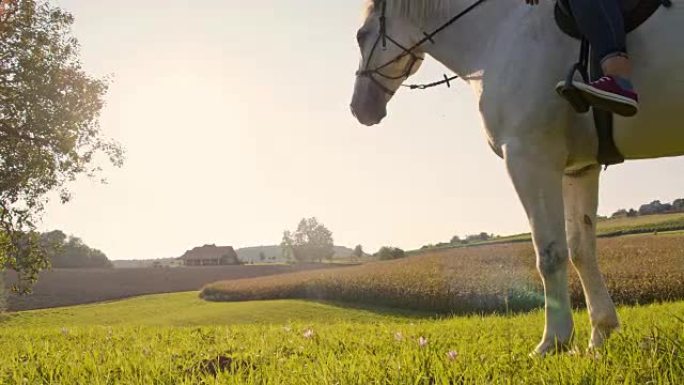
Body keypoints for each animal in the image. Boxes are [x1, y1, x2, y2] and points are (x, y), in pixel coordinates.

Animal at [350, 0, 684, 354]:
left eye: (361, 35)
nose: (360, 108)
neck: (499, 32)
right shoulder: (579, 169)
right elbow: (581, 251)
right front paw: (599, 337)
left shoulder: (529, 157)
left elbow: (550, 253)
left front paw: (554, 341)